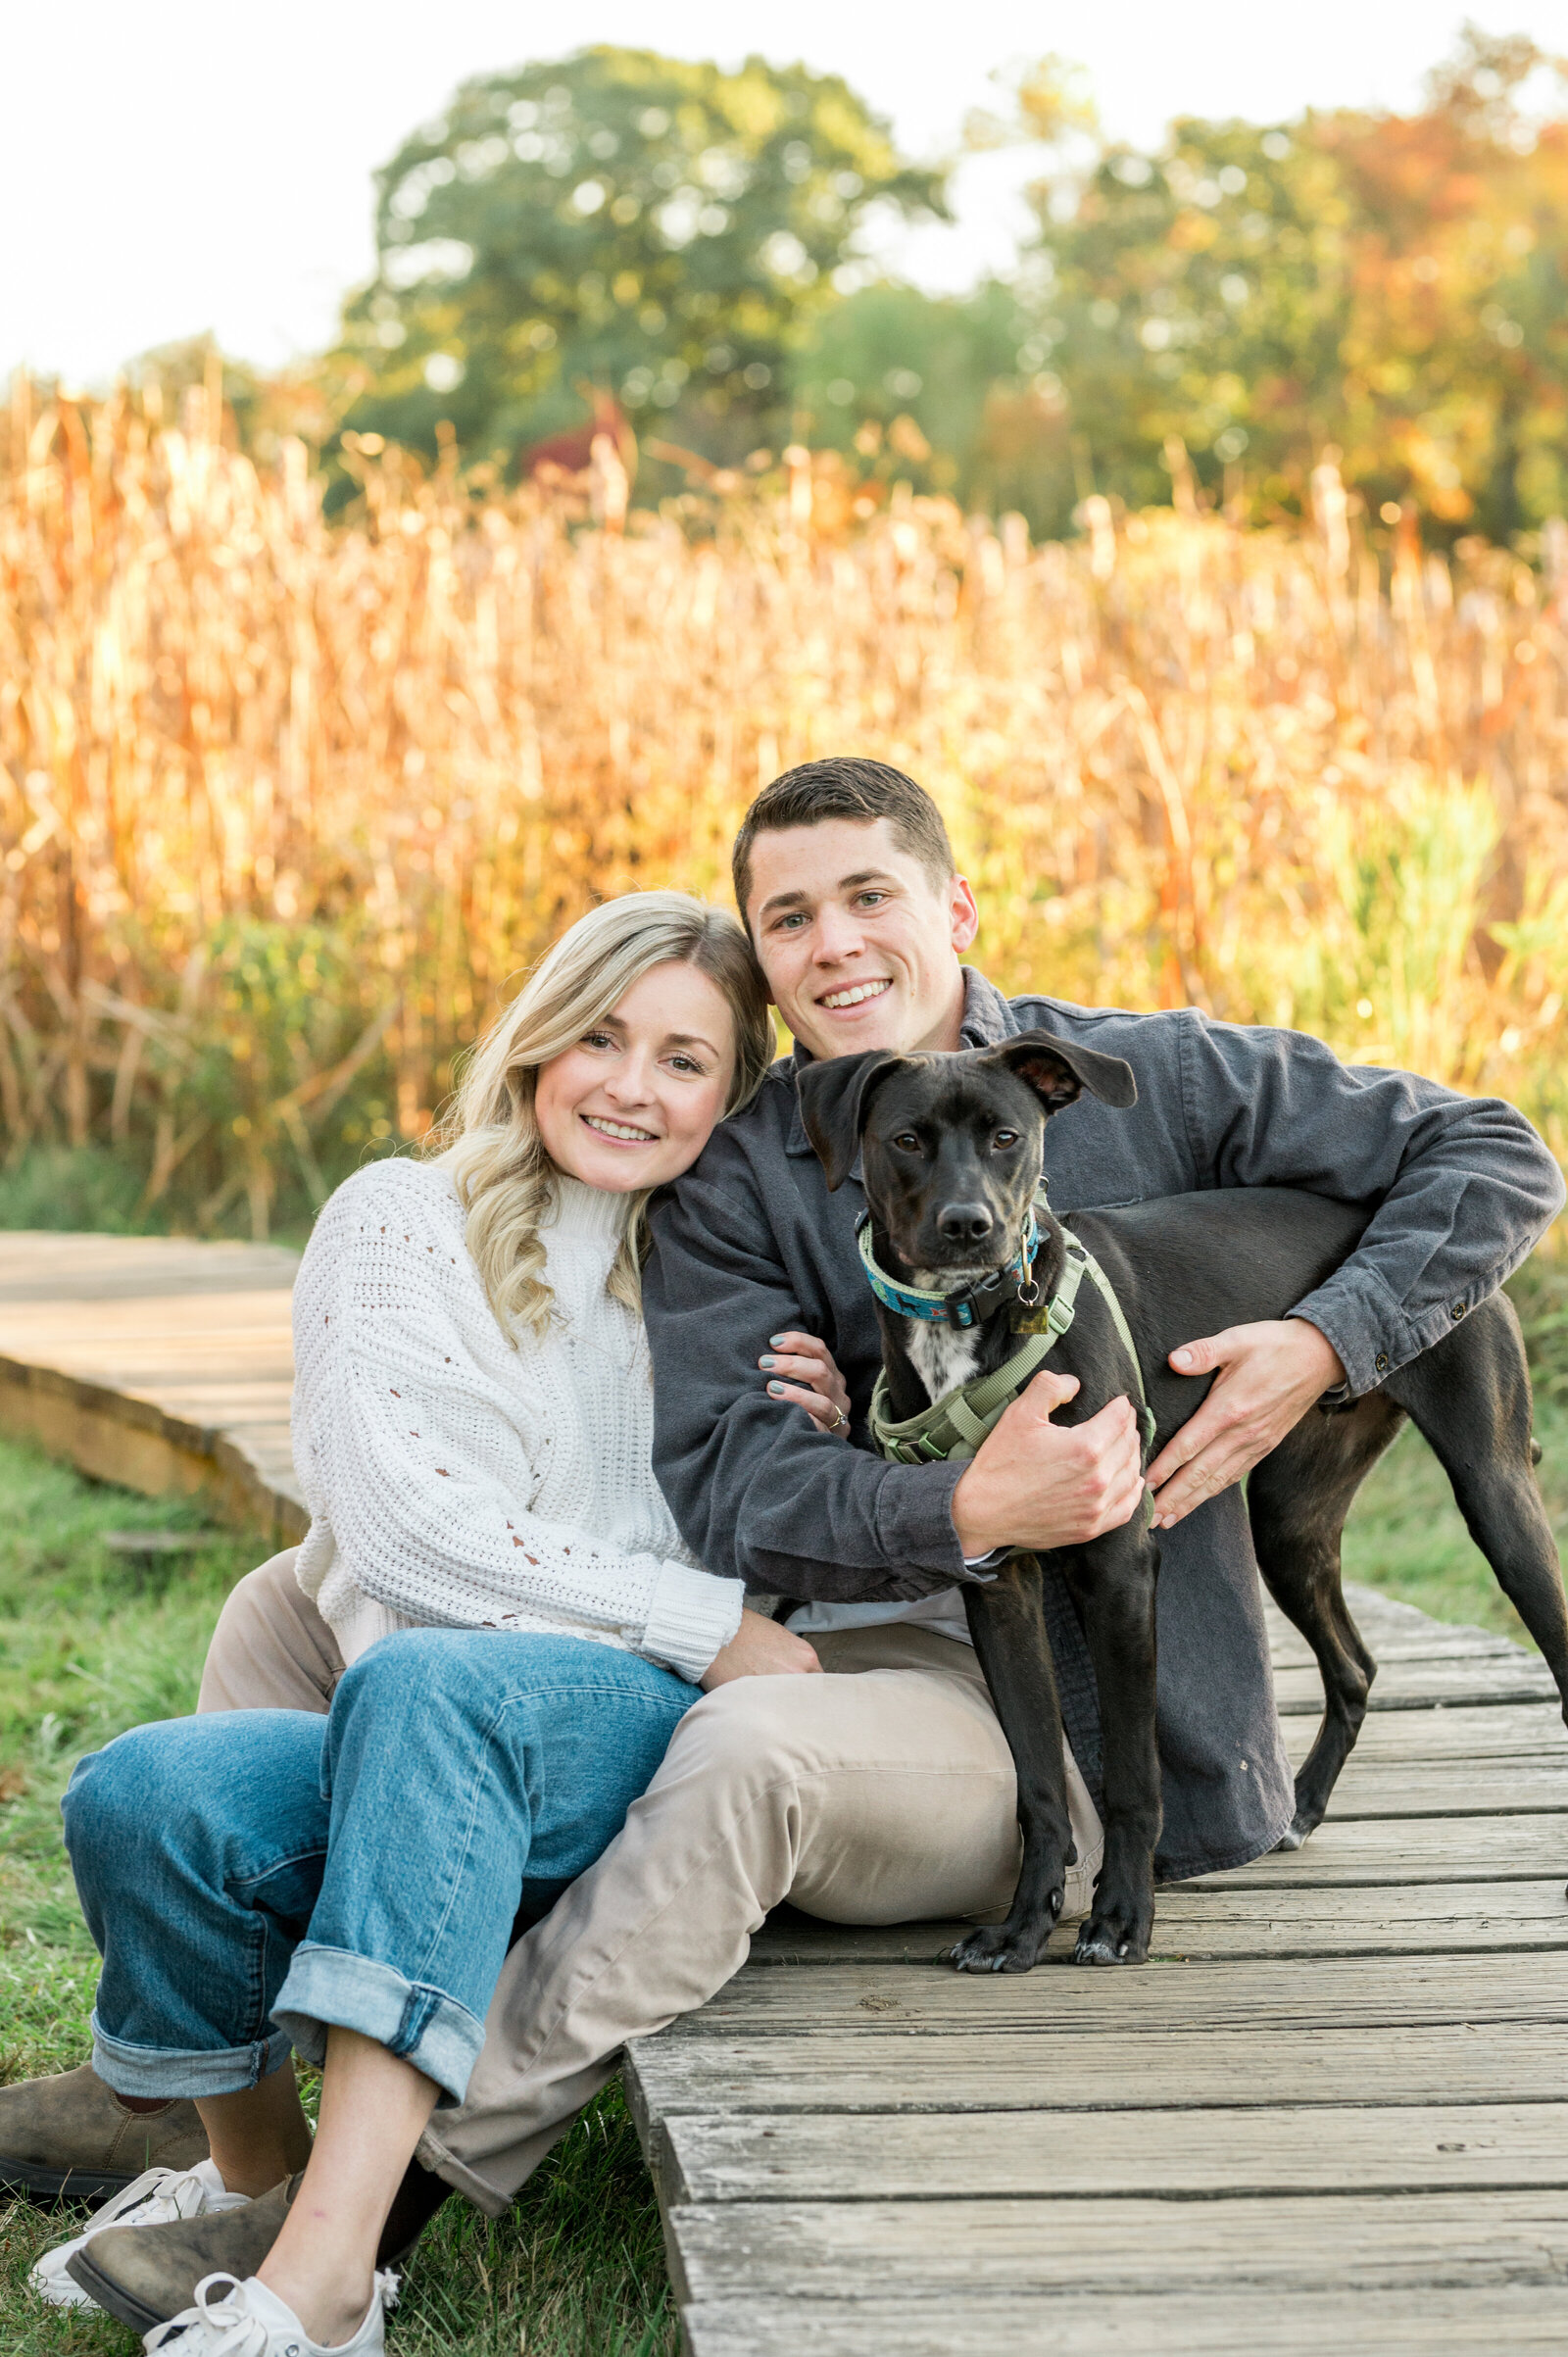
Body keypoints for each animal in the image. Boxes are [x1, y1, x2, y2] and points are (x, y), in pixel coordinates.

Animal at [802, 1032, 1565, 1970]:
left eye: (1007, 1136)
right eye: (907, 1139)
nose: (968, 1225)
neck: (973, 1326)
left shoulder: (1121, 1568)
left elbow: (1133, 1773)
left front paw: (1122, 1918)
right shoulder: (999, 1585)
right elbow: (1038, 1783)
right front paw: (1023, 1927)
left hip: (1498, 1497)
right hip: (1291, 1523)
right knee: (1355, 1665)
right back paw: (1303, 1808)